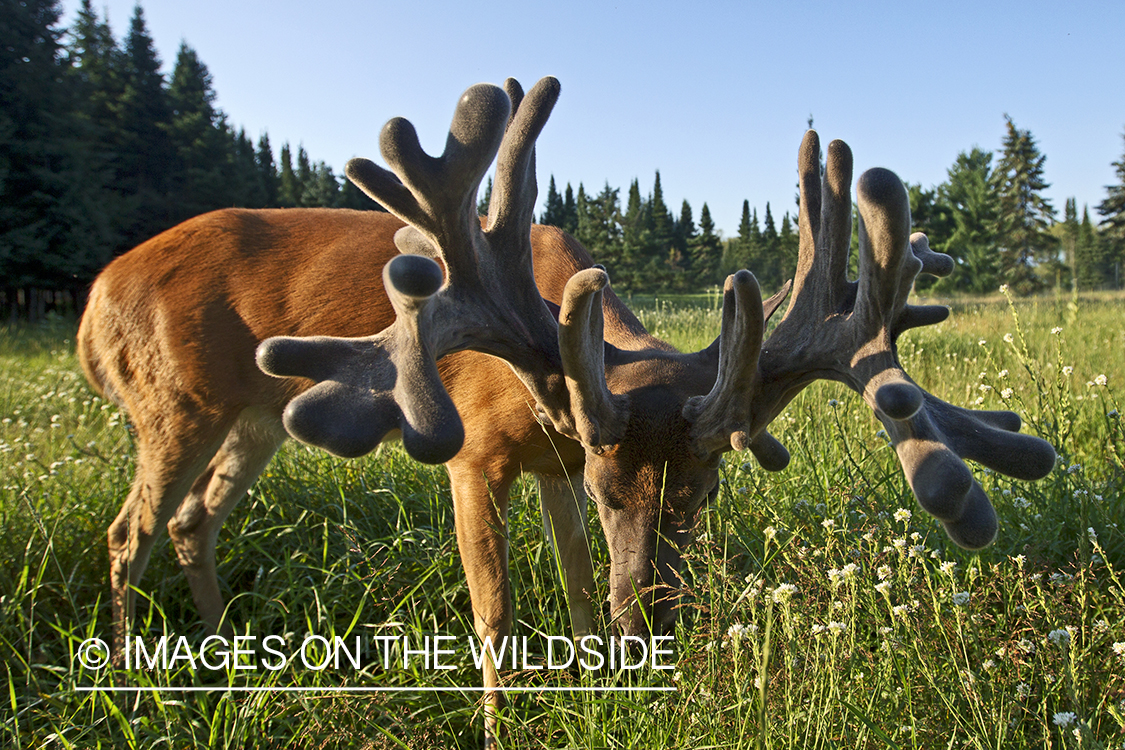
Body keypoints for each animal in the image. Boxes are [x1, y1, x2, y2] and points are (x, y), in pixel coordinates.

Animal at [77, 77, 1053, 746]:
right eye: (611, 487)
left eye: (703, 490)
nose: (651, 623)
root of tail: (94, 298)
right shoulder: (476, 455)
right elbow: (496, 611)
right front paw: (500, 726)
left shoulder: (553, 458)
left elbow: (580, 584)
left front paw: (599, 690)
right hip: (174, 403)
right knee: (127, 531)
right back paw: (127, 686)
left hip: (254, 415)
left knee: (194, 519)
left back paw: (221, 662)